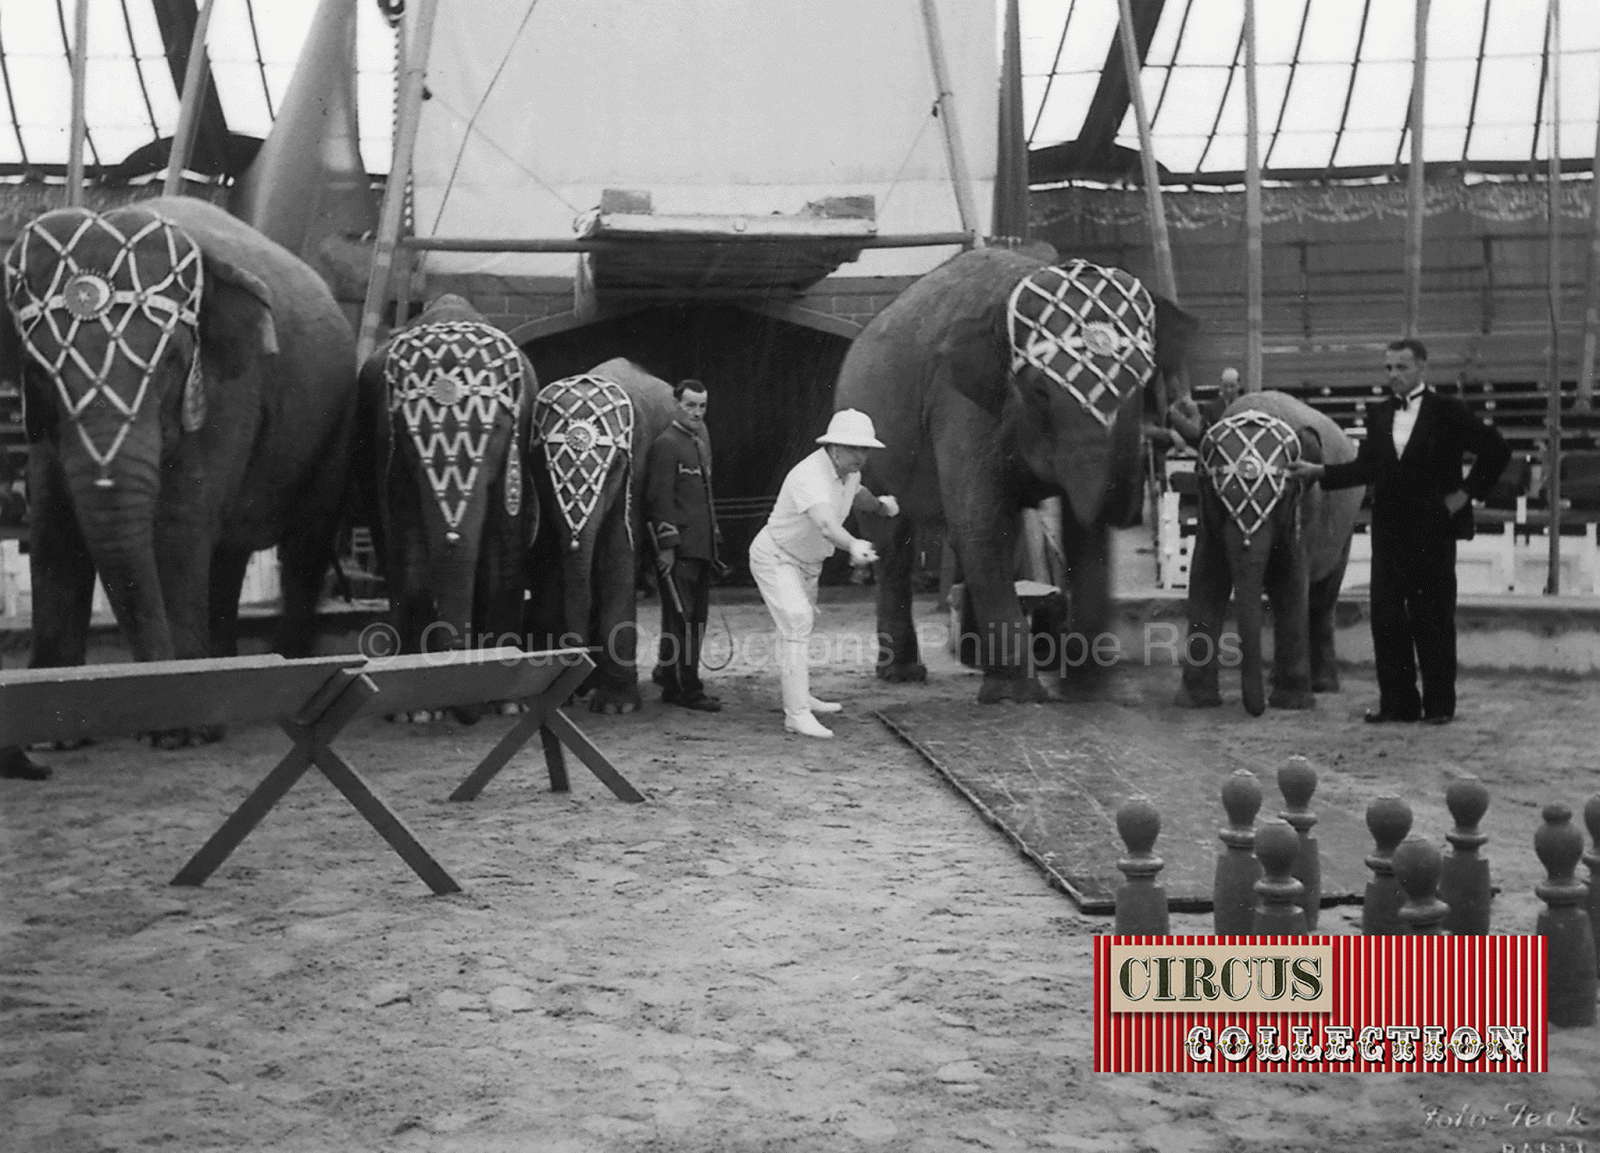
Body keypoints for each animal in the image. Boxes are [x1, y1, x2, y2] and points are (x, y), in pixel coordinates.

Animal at [0, 193, 356, 764]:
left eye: (170, 361)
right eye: (39, 370)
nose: (156, 678)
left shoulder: (231, 390)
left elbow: (176, 526)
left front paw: (180, 731)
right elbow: (55, 526)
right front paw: (52, 737)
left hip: (336, 424)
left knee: (304, 545)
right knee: (228, 556)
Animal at [355, 297, 531, 687]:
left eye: (499, 428)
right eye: (408, 434)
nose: (457, 653)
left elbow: (503, 555)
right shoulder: (387, 445)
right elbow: (409, 557)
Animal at [524, 355, 675, 710]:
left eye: (615, 468)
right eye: (544, 465)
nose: (569, 691)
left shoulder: (636, 466)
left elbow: (617, 552)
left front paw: (616, 706)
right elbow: (550, 556)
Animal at [838, 244, 1190, 700]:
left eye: (1145, 381)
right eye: (1040, 391)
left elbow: (1065, 528)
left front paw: (1081, 683)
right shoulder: (957, 403)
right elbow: (981, 522)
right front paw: (1018, 696)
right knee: (894, 542)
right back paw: (903, 673)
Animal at [1177, 391, 1363, 716]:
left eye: (1282, 496)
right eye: (1219, 496)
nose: (1257, 709)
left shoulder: (1305, 507)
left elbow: (1290, 581)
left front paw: (1292, 704)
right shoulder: (1205, 513)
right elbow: (1207, 579)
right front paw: (1195, 703)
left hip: (1346, 531)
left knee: (1322, 598)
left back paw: (1324, 686)